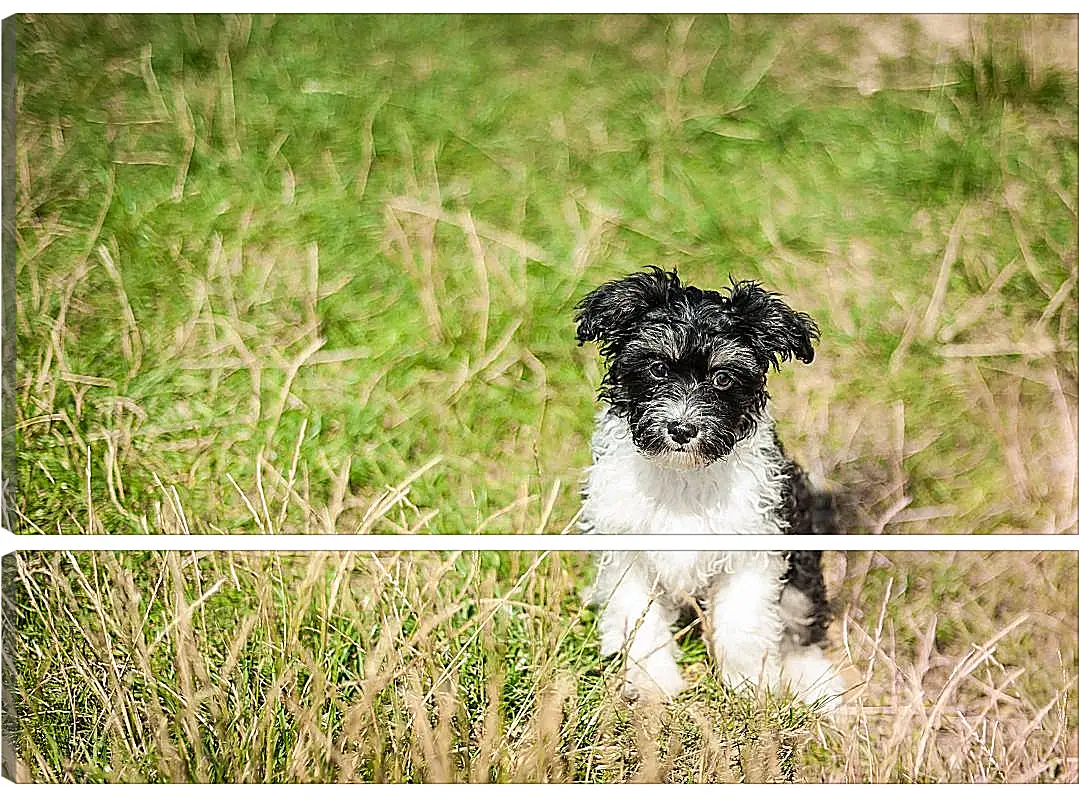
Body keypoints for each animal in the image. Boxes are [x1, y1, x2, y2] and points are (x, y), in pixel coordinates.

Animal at [578, 266, 845, 703]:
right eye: (657, 369)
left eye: (722, 378)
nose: (682, 429)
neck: (684, 475)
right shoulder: (627, 551)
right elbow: (641, 622)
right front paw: (654, 685)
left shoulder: (753, 549)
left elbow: (744, 627)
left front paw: (751, 690)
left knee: (798, 621)